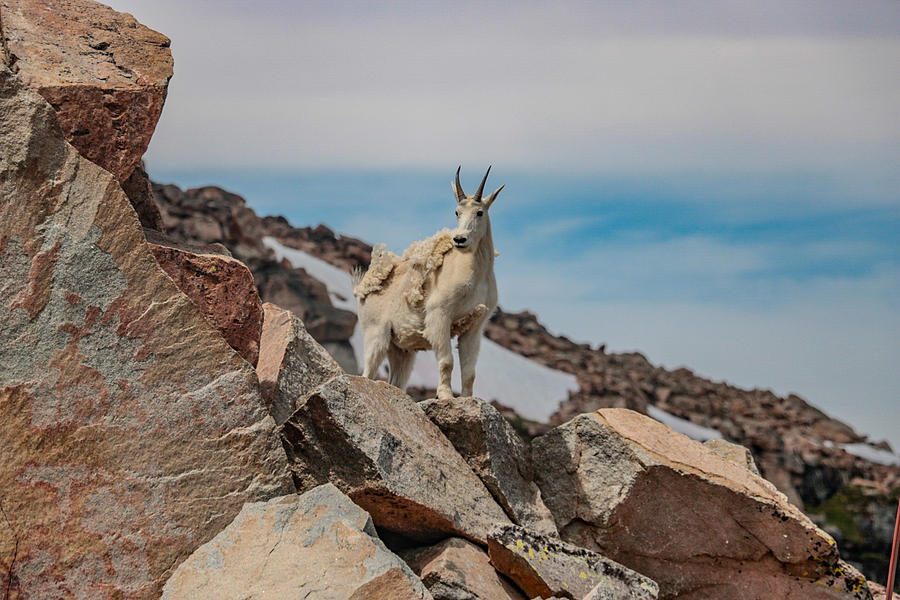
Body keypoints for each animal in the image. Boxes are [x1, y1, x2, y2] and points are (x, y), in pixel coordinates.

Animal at [354, 166, 506, 398]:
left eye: (480, 212)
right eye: (456, 212)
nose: (459, 239)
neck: (476, 273)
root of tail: (364, 289)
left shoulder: (475, 327)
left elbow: (469, 372)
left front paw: (466, 399)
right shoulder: (439, 316)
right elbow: (447, 362)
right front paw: (445, 396)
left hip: (401, 349)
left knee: (396, 380)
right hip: (375, 335)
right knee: (367, 372)